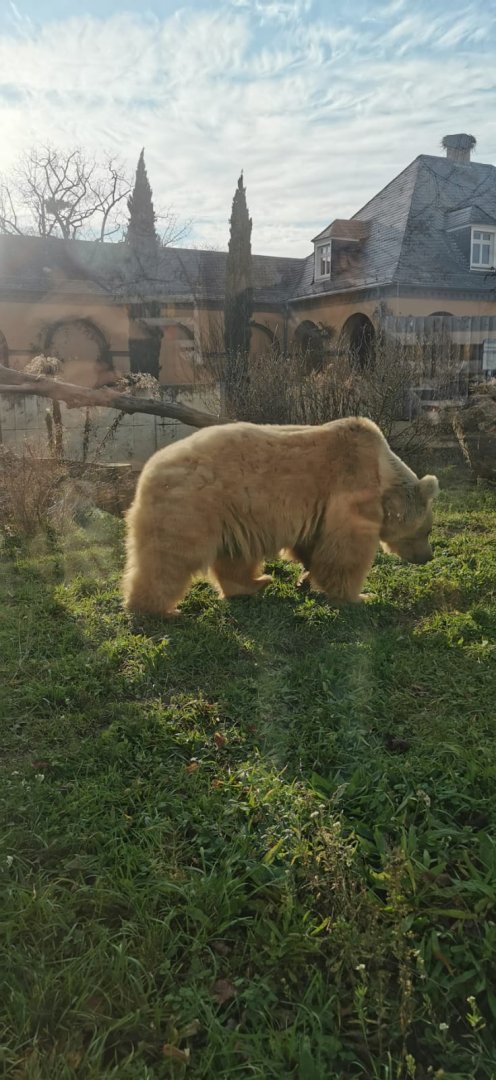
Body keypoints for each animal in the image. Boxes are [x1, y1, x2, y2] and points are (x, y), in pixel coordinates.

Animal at [122, 417, 439, 616]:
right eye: (427, 530)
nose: (428, 557)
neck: (383, 472)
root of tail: (147, 471)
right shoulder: (352, 486)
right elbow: (346, 550)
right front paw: (360, 596)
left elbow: (314, 544)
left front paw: (306, 578)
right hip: (190, 507)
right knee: (169, 560)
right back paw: (157, 608)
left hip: (232, 510)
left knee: (234, 557)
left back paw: (256, 583)